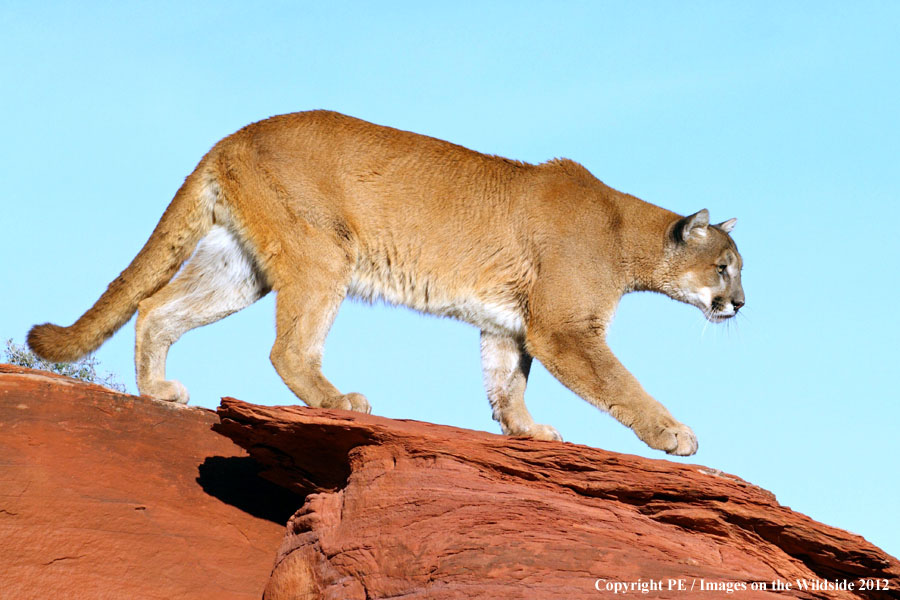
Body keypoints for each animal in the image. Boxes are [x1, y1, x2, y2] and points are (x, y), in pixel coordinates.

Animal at [29, 110, 744, 454]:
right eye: (725, 266)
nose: (739, 303)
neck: (628, 235)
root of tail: (235, 135)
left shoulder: (509, 323)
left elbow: (505, 380)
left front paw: (525, 431)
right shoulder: (565, 329)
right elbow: (621, 384)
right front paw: (675, 435)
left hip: (240, 267)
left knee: (155, 306)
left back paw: (158, 391)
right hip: (324, 256)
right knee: (287, 348)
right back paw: (338, 401)